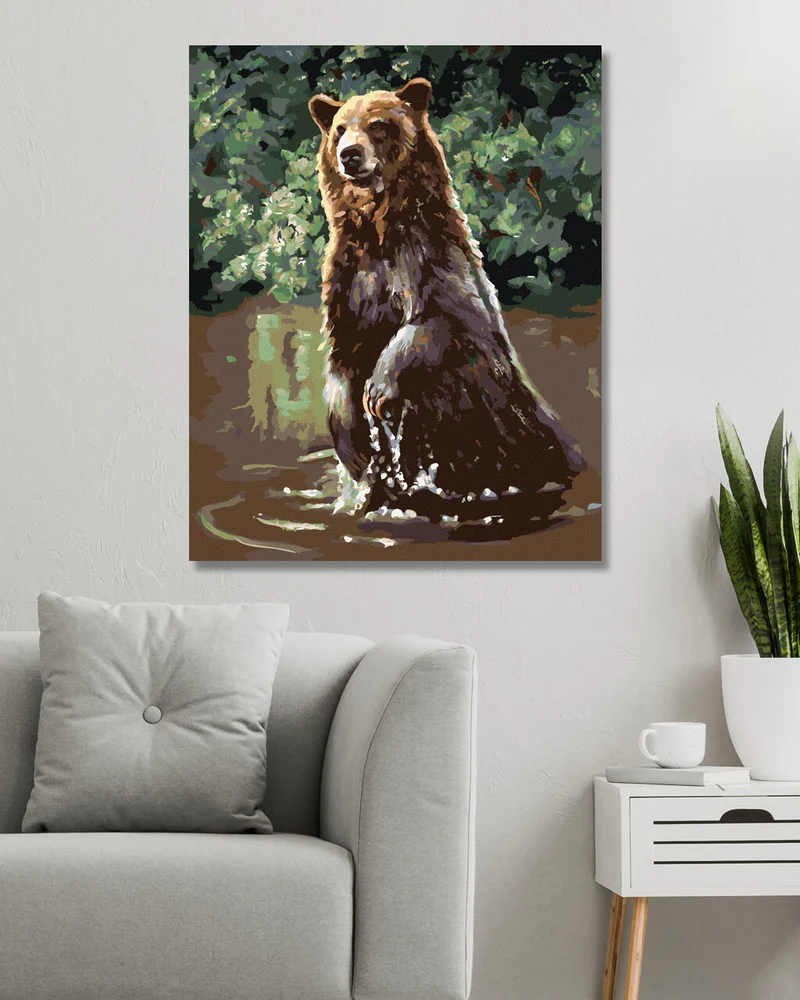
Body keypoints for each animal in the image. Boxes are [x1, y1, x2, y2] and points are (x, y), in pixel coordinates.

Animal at [308, 77, 584, 521]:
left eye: (379, 125)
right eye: (339, 129)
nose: (350, 155)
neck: (380, 229)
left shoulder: (429, 257)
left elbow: (445, 320)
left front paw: (379, 386)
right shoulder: (350, 278)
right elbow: (343, 353)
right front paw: (350, 434)